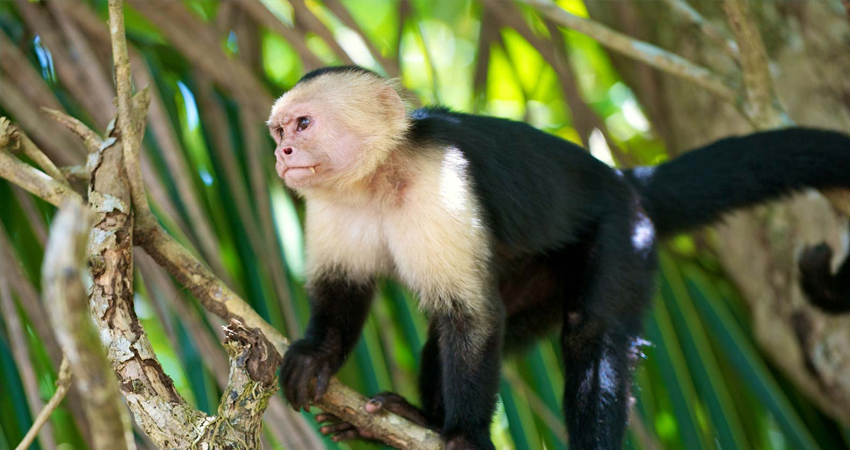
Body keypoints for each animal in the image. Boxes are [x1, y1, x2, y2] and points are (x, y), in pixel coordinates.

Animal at [270, 65, 848, 448]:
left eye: (304, 125)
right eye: (278, 130)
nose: (281, 153)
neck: (376, 177)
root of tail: (623, 181)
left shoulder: (440, 182)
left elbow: (472, 317)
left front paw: (466, 435)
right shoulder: (330, 204)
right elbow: (344, 290)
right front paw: (317, 356)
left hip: (623, 236)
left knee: (589, 334)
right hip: (539, 281)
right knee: (459, 332)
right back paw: (419, 421)